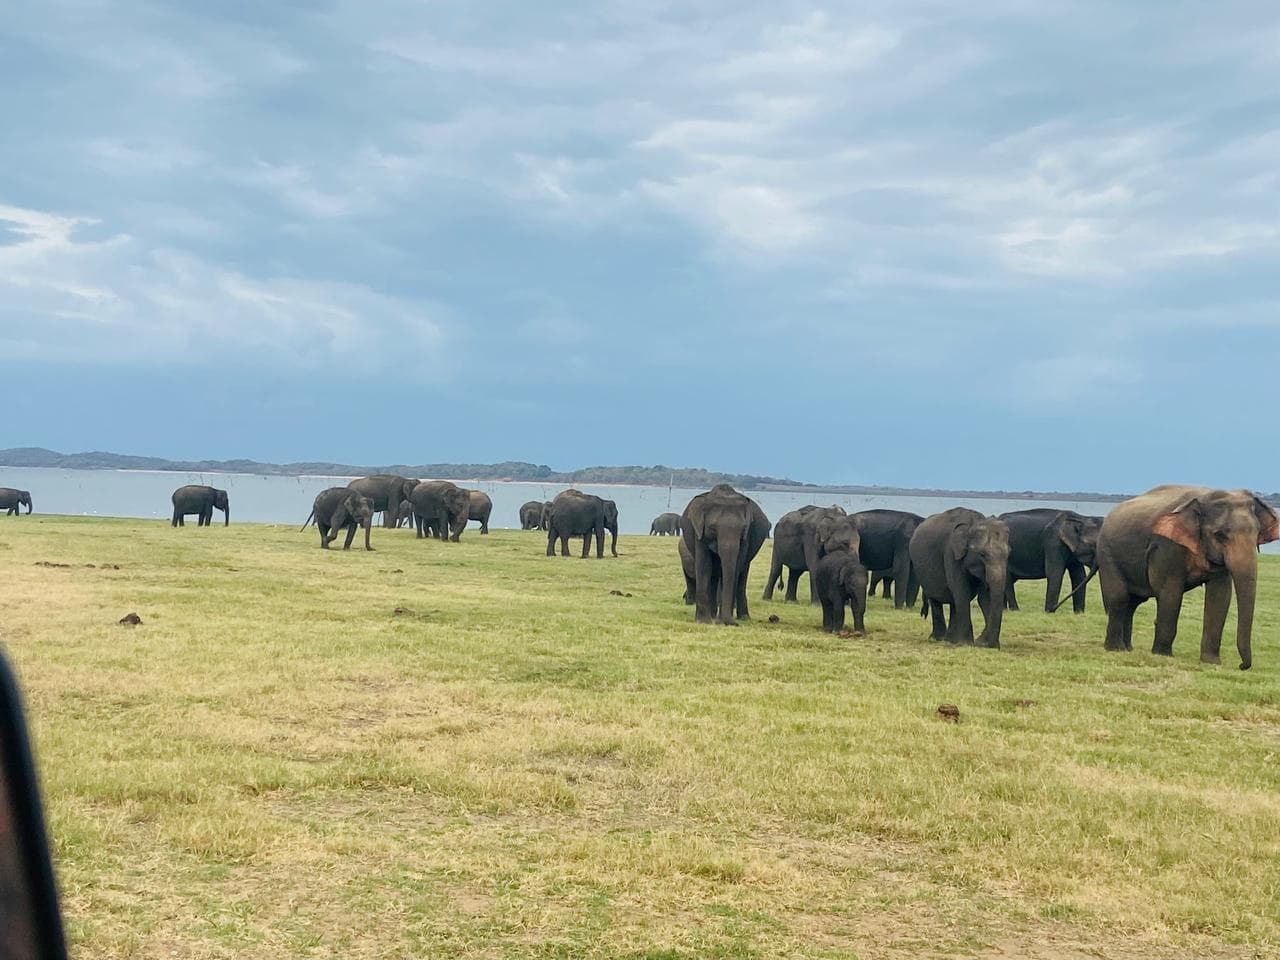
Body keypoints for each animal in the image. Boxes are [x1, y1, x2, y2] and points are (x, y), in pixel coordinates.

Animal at [681, 484, 771, 625]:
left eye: (743, 528)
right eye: (713, 528)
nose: (733, 624)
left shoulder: (746, 536)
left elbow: (735, 567)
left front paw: (720, 621)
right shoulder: (699, 532)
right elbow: (704, 566)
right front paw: (703, 621)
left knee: (742, 576)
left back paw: (743, 618)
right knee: (713, 575)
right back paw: (712, 616)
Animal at [909, 508, 1009, 648]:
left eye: (1008, 555)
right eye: (982, 554)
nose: (985, 643)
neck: (974, 523)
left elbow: (984, 597)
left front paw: (983, 644)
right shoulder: (951, 552)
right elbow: (962, 591)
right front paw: (966, 643)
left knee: (953, 601)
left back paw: (950, 640)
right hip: (923, 573)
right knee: (935, 600)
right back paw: (938, 638)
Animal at [1096, 485, 1279, 669]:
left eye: (1256, 533)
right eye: (1219, 535)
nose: (1241, 666)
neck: (1204, 498)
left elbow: (1220, 596)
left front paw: (1211, 662)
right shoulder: (1168, 546)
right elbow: (1170, 591)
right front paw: (1163, 655)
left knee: (1133, 603)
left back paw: (1127, 649)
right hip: (1107, 553)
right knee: (1119, 598)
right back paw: (1115, 649)